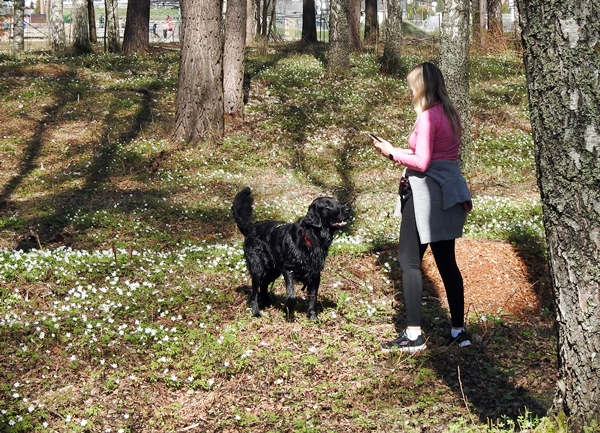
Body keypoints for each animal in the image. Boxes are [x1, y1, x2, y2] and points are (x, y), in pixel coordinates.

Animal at [231, 187, 352, 318]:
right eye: (327, 206)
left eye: (336, 202)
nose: (348, 209)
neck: (311, 238)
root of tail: (251, 226)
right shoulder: (288, 269)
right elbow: (291, 295)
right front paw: (287, 311)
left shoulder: (315, 274)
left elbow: (313, 297)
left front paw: (313, 317)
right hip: (257, 267)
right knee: (254, 292)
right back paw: (256, 312)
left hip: (274, 270)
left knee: (263, 284)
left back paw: (267, 302)